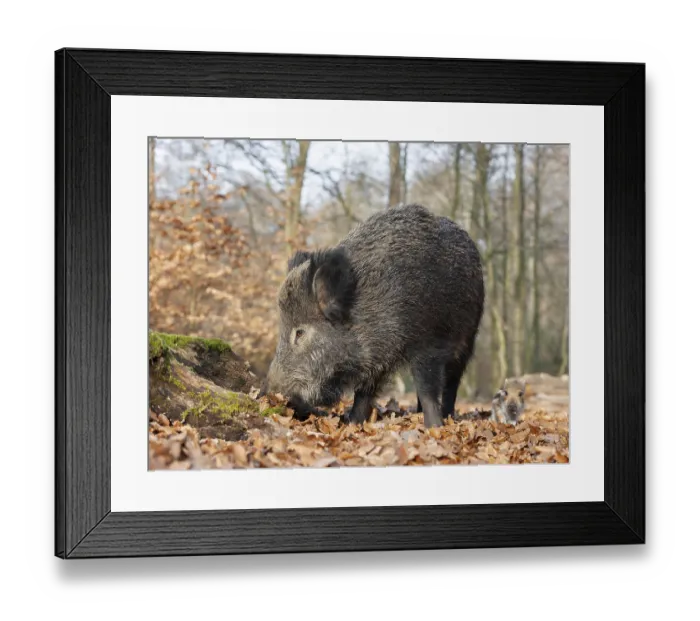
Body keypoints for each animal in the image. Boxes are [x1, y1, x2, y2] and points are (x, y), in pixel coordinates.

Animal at [266, 203, 485, 428]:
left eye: (300, 332)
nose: (273, 395)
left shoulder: (427, 344)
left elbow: (427, 389)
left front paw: (434, 426)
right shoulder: (375, 357)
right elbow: (364, 393)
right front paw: (353, 423)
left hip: (468, 337)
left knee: (452, 381)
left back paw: (447, 416)